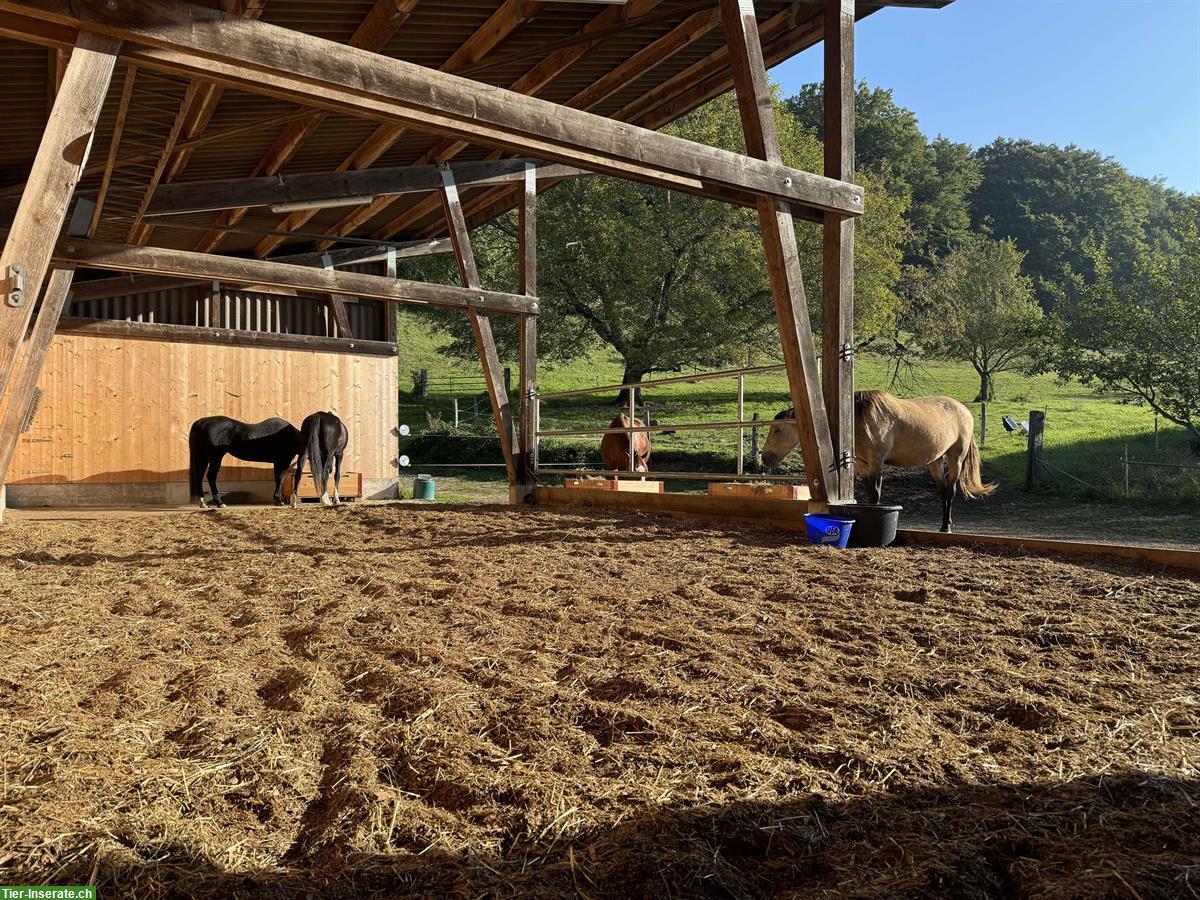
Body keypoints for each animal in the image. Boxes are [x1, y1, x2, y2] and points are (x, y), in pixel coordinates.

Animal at [763, 391, 998, 532]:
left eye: (777, 429)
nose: (765, 458)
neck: (858, 418)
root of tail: (963, 410)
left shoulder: (876, 463)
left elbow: (875, 496)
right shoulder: (862, 465)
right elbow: (869, 495)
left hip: (955, 457)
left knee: (950, 491)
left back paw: (945, 527)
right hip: (936, 460)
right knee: (943, 491)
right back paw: (944, 524)